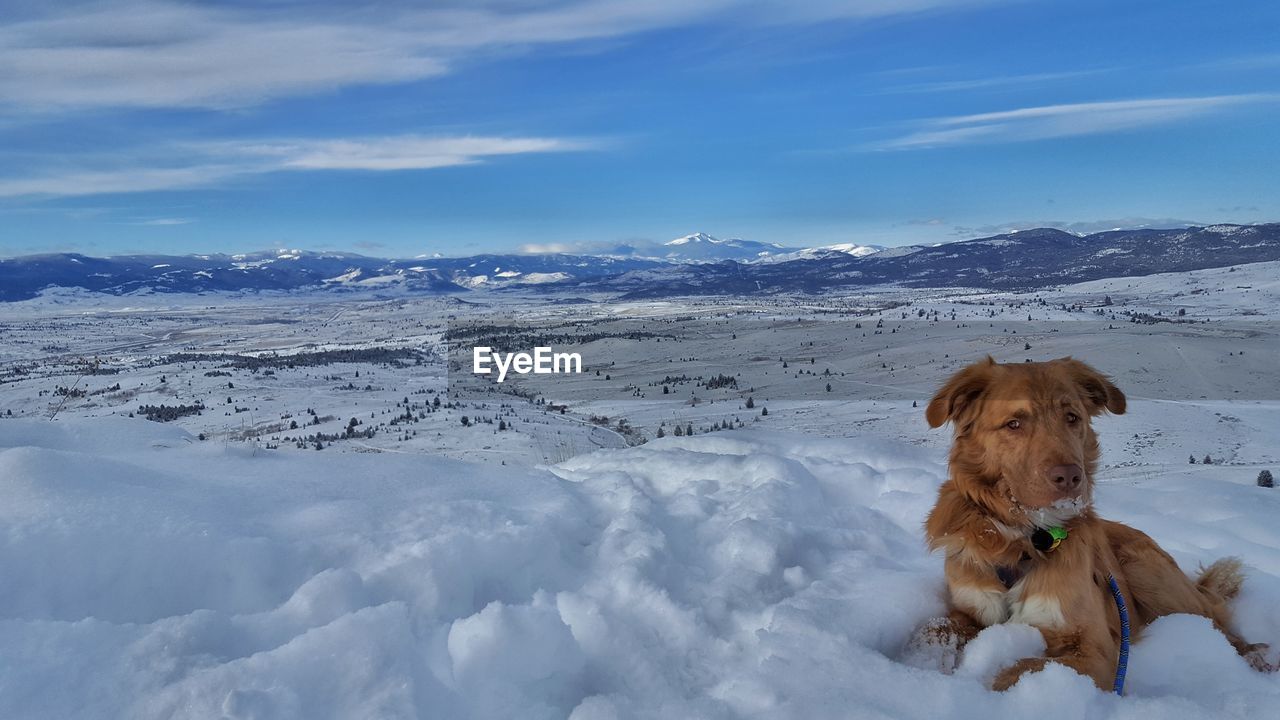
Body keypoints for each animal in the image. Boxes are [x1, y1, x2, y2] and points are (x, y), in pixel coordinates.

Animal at [911, 356, 1269, 686]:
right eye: (1014, 423)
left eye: (1072, 418)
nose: (1070, 477)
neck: (1026, 540)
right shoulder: (970, 607)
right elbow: (932, 628)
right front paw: (923, 663)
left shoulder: (1093, 648)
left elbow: (1014, 671)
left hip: (1148, 574)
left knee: (1218, 623)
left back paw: (1255, 658)